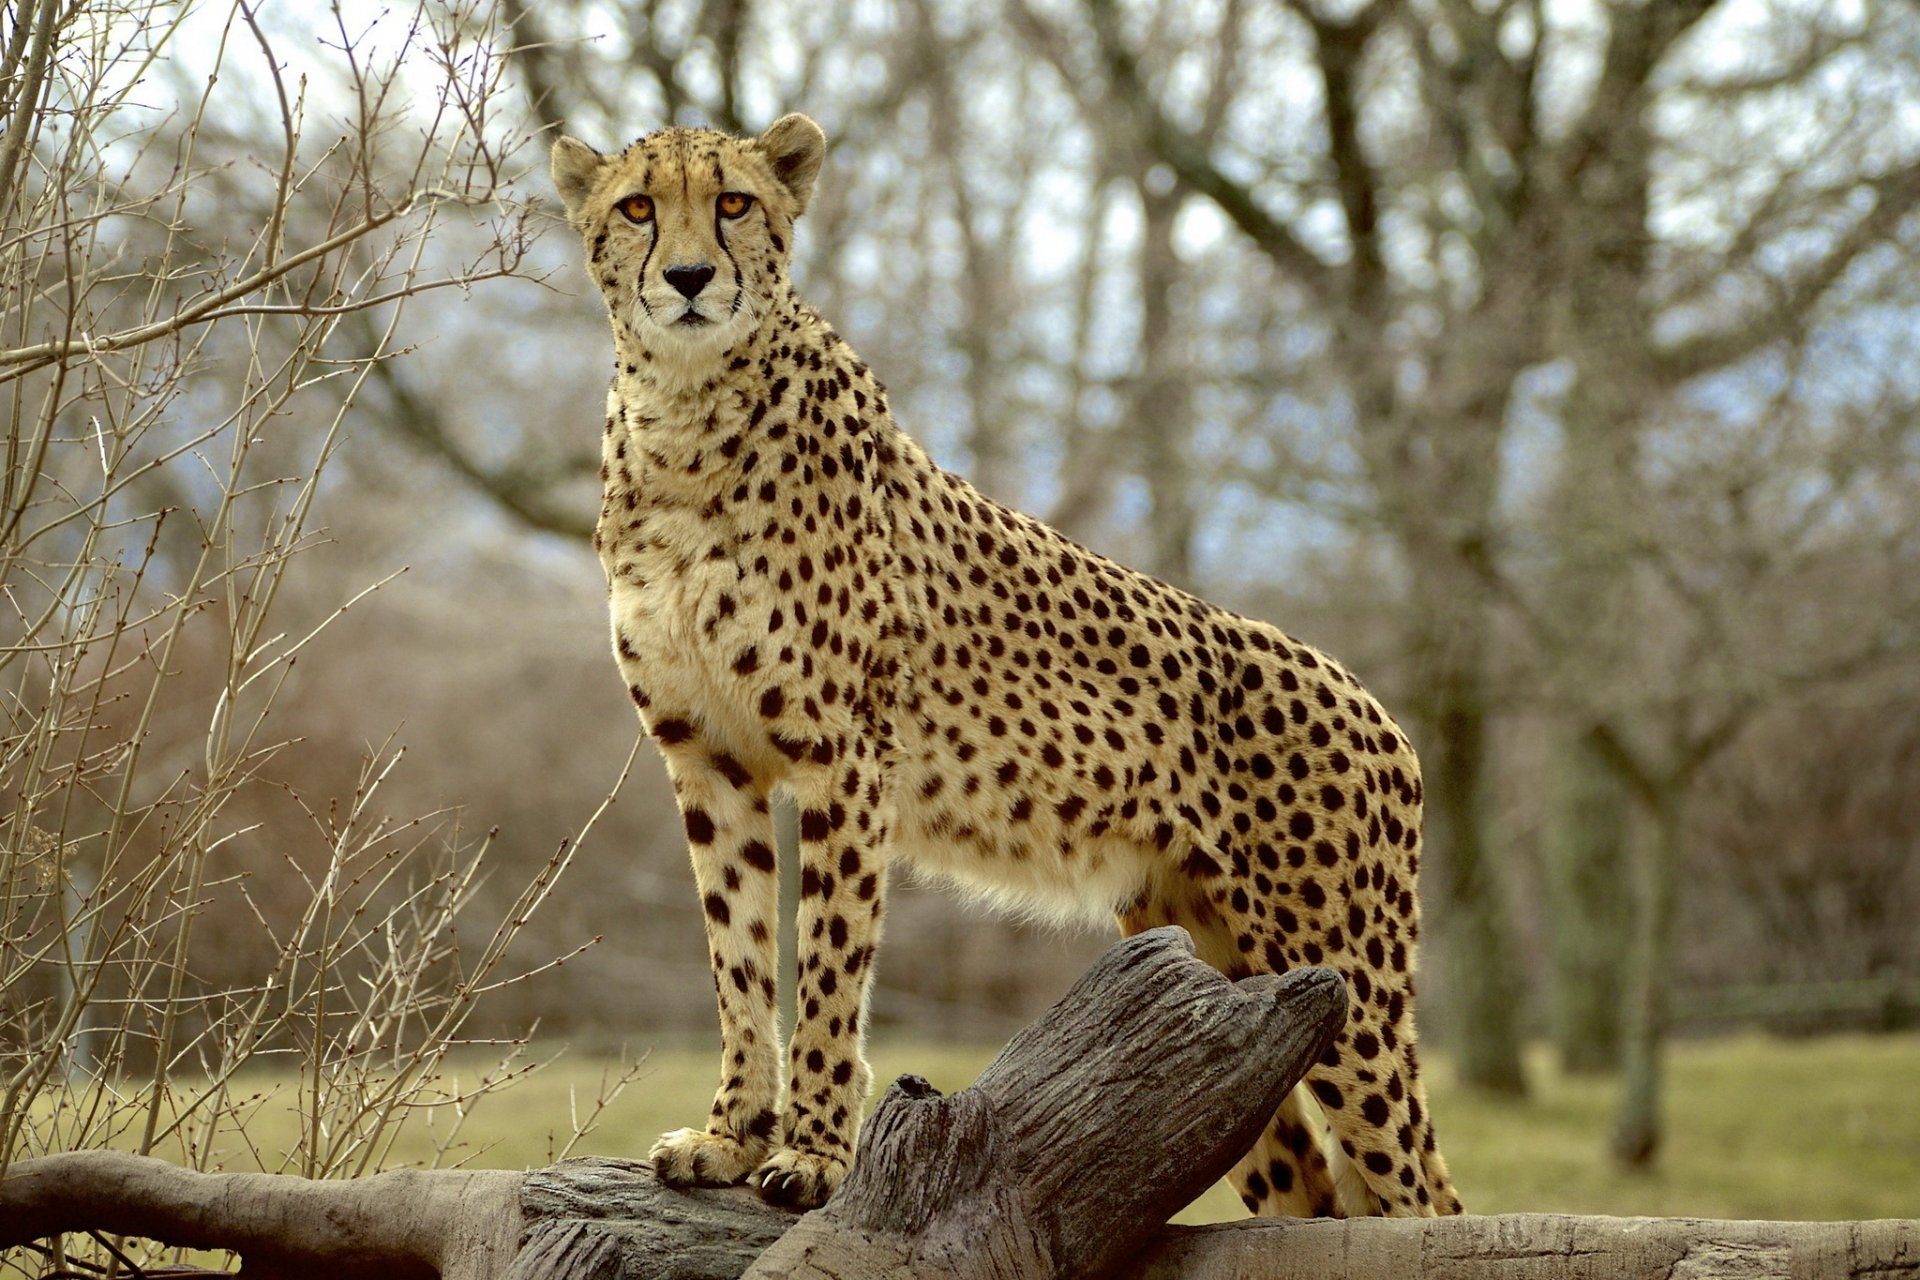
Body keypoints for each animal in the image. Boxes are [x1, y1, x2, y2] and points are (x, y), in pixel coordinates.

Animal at [549, 115, 1459, 1220]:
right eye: (638, 207)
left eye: (733, 203)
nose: (687, 277)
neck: (684, 416)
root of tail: (1377, 705)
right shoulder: (707, 757)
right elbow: (740, 960)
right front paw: (729, 1135)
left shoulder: (844, 758)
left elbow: (828, 963)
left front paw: (814, 1154)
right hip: (1221, 976)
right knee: (1310, 1194)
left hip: (1342, 983)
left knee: (1421, 1198)